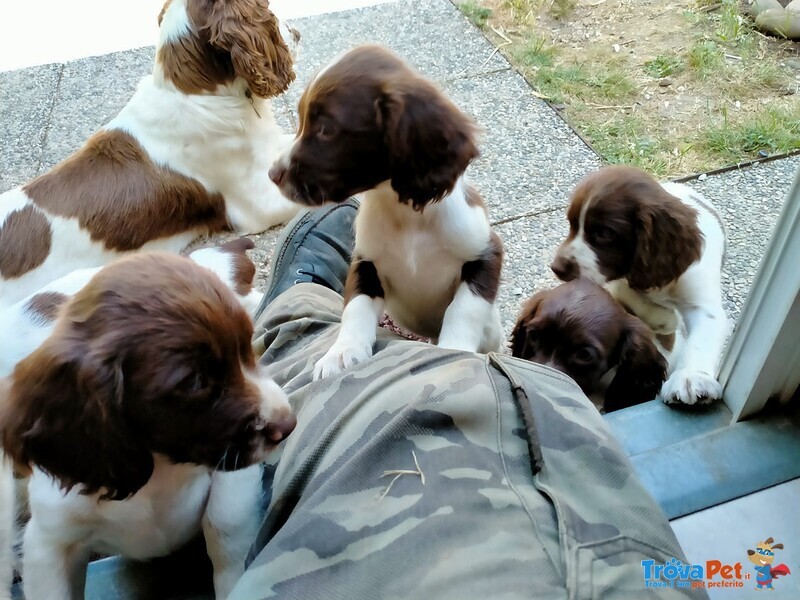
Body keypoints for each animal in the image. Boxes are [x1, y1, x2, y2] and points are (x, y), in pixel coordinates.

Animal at [0, 252, 296, 600]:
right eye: (194, 381)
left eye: (247, 347)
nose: (288, 424)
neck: (159, 471)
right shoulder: (50, 541)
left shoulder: (232, 475)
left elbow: (225, 523)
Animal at [268, 45, 506, 380]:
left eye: (326, 129)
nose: (272, 174)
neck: (405, 217)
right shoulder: (365, 261)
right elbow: (356, 306)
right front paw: (342, 352)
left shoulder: (485, 252)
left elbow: (464, 308)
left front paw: (454, 351)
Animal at [552, 166, 732, 406]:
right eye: (571, 225)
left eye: (604, 233)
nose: (556, 268)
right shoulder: (617, 280)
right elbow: (624, 292)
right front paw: (664, 319)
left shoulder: (701, 300)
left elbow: (702, 337)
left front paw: (691, 379)